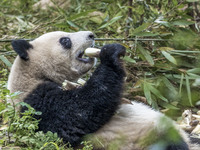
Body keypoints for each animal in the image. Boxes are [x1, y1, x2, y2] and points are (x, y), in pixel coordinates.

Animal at [7, 31, 198, 149]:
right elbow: (80, 112)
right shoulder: (37, 102)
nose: (91, 35)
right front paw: (110, 52)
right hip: (148, 139)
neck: (33, 74)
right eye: (65, 41)